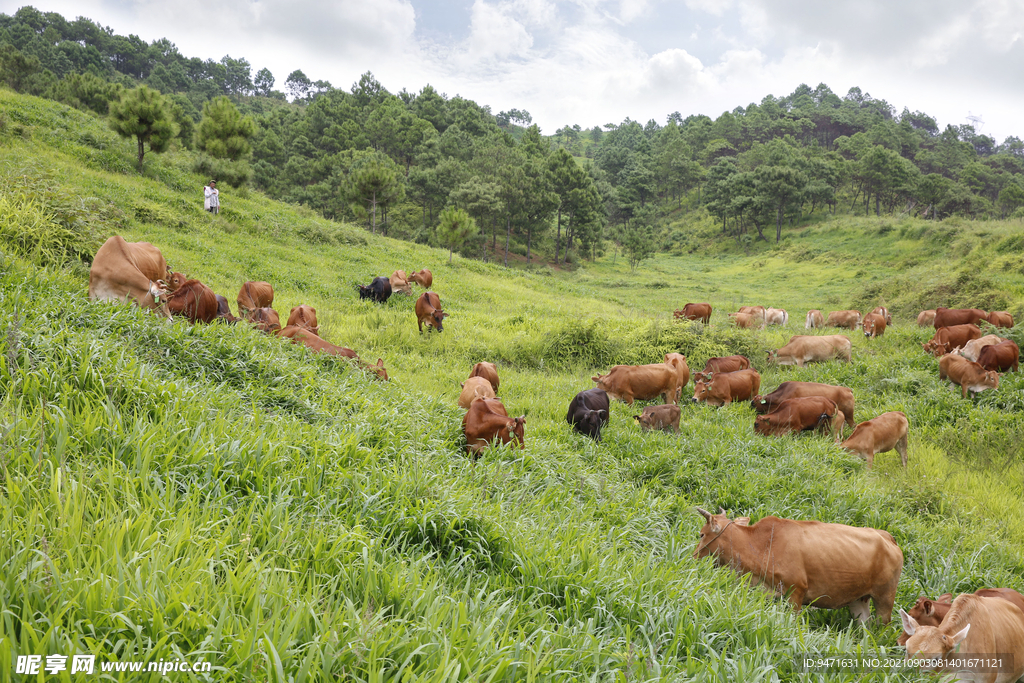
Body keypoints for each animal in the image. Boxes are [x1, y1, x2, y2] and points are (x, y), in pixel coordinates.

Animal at [692, 507, 901, 626]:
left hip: (885, 598)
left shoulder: (796, 592)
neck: (763, 545)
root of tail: (887, 536)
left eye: (701, 534)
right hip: (858, 599)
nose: (693, 557)